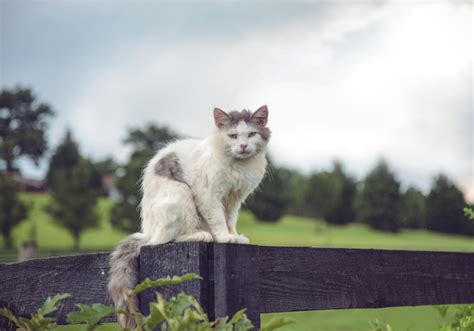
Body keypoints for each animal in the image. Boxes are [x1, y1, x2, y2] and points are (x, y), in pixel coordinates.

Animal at [107, 105, 270, 328]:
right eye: (233, 136)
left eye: (252, 134)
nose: (243, 146)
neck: (239, 167)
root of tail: (147, 232)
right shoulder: (209, 196)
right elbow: (219, 220)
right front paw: (224, 237)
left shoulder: (235, 200)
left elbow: (230, 220)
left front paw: (235, 236)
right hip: (181, 195)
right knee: (165, 240)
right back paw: (202, 235)